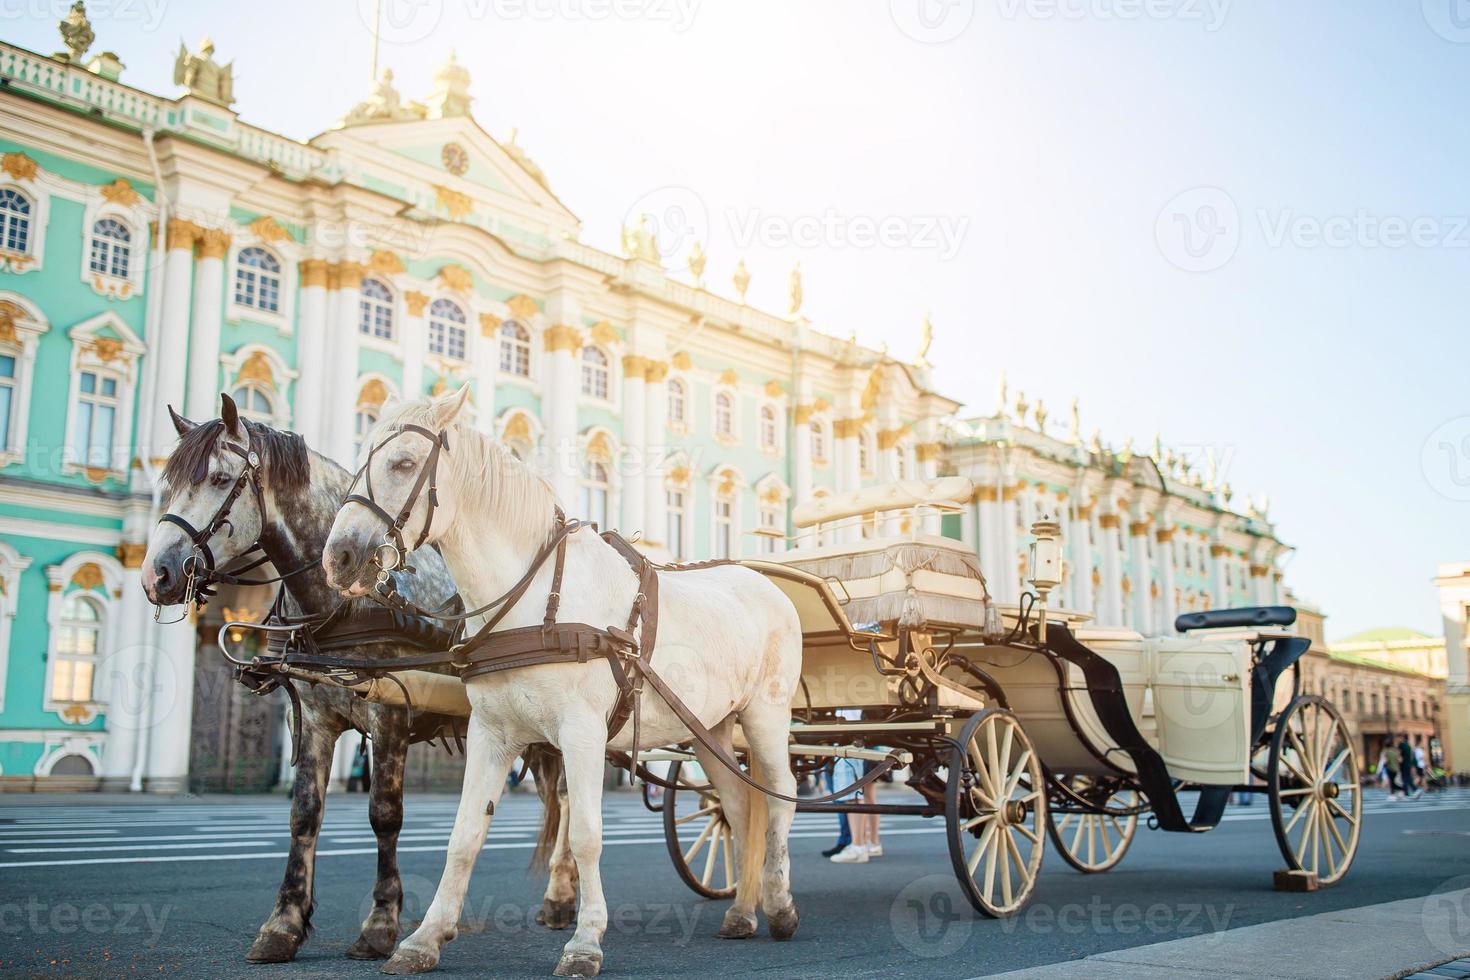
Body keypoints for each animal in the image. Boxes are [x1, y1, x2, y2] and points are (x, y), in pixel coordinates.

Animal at [324, 387, 805, 975]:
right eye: (361, 455)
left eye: (404, 463)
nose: (339, 557)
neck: (531, 600)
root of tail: (767, 583)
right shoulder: (491, 733)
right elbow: (464, 835)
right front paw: (424, 939)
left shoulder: (582, 733)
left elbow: (585, 836)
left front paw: (584, 940)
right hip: (709, 728)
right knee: (736, 803)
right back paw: (740, 912)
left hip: (766, 717)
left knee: (780, 797)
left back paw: (779, 905)